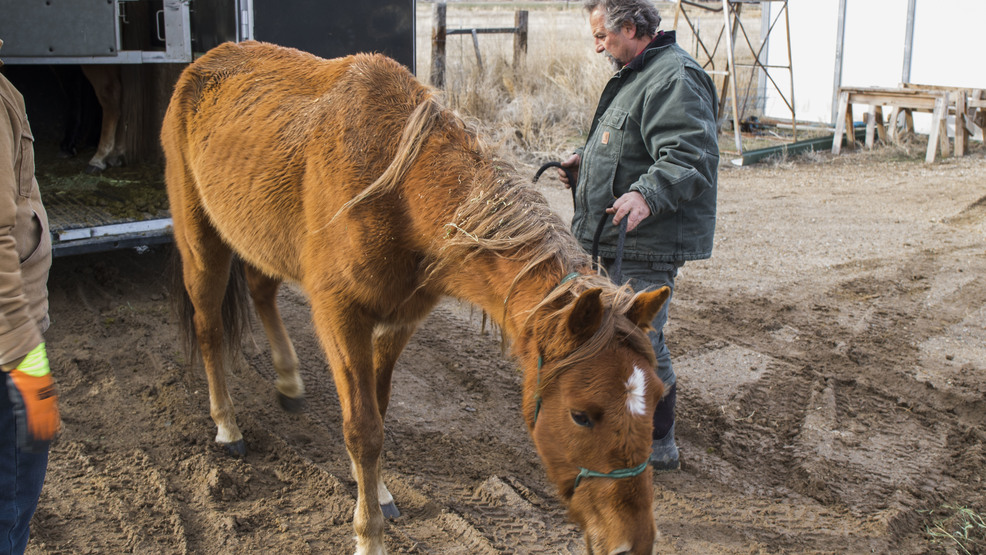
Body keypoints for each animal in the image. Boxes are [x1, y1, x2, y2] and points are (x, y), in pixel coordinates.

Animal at [161, 40, 669, 555]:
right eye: (581, 415)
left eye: (657, 400)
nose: (634, 543)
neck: (400, 190)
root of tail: (204, 64)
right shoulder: (341, 317)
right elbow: (363, 429)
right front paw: (368, 534)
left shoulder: (399, 320)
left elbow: (379, 411)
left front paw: (379, 491)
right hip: (201, 242)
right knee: (209, 326)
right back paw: (227, 425)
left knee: (262, 291)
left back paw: (288, 380)